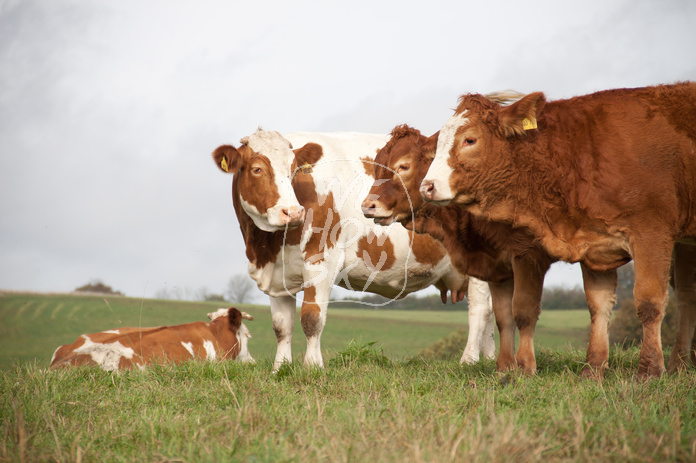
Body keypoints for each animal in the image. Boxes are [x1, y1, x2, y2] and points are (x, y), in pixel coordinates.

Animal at [212, 130, 494, 374]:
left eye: (294, 171)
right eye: (257, 169)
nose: (292, 212)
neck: (268, 247)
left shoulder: (322, 261)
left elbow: (312, 319)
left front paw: (313, 368)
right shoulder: (277, 273)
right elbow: (282, 327)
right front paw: (279, 370)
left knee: (480, 310)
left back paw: (469, 360)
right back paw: (489, 361)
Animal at [362, 125, 616, 378]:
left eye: (403, 166)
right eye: (376, 166)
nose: (367, 206)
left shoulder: (528, 256)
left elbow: (523, 311)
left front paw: (525, 367)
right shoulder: (494, 263)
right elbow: (503, 316)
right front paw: (505, 368)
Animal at [422, 83, 696, 378]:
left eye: (469, 140)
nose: (426, 186)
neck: (578, 155)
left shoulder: (652, 234)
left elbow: (649, 302)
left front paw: (649, 371)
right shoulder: (596, 243)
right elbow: (598, 306)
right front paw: (593, 369)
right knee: (688, 296)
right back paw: (680, 364)